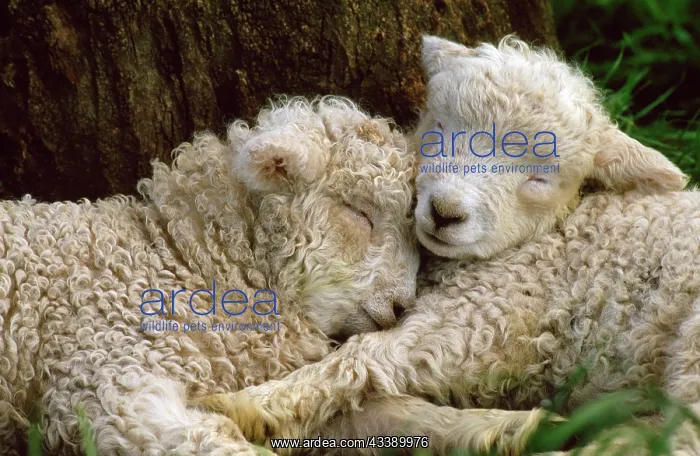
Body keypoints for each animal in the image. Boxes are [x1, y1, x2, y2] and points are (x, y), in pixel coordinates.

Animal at [197, 37, 700, 455]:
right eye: (440, 127)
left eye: (541, 178)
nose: (444, 211)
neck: (546, 237)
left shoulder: (485, 313)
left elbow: (365, 358)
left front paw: (244, 404)